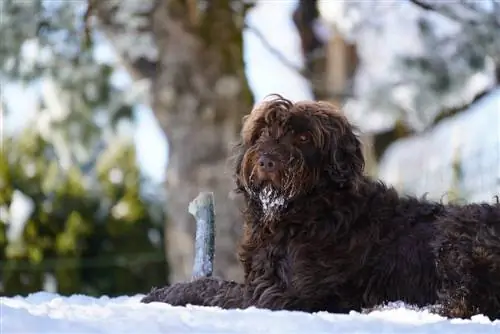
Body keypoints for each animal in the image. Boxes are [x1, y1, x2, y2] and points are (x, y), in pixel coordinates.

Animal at [142, 95, 500, 320]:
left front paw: (163, 294)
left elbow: (215, 288)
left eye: (303, 138)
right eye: (263, 132)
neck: (303, 212)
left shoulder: (279, 297)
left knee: (462, 303)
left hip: (455, 237)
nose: (266, 160)